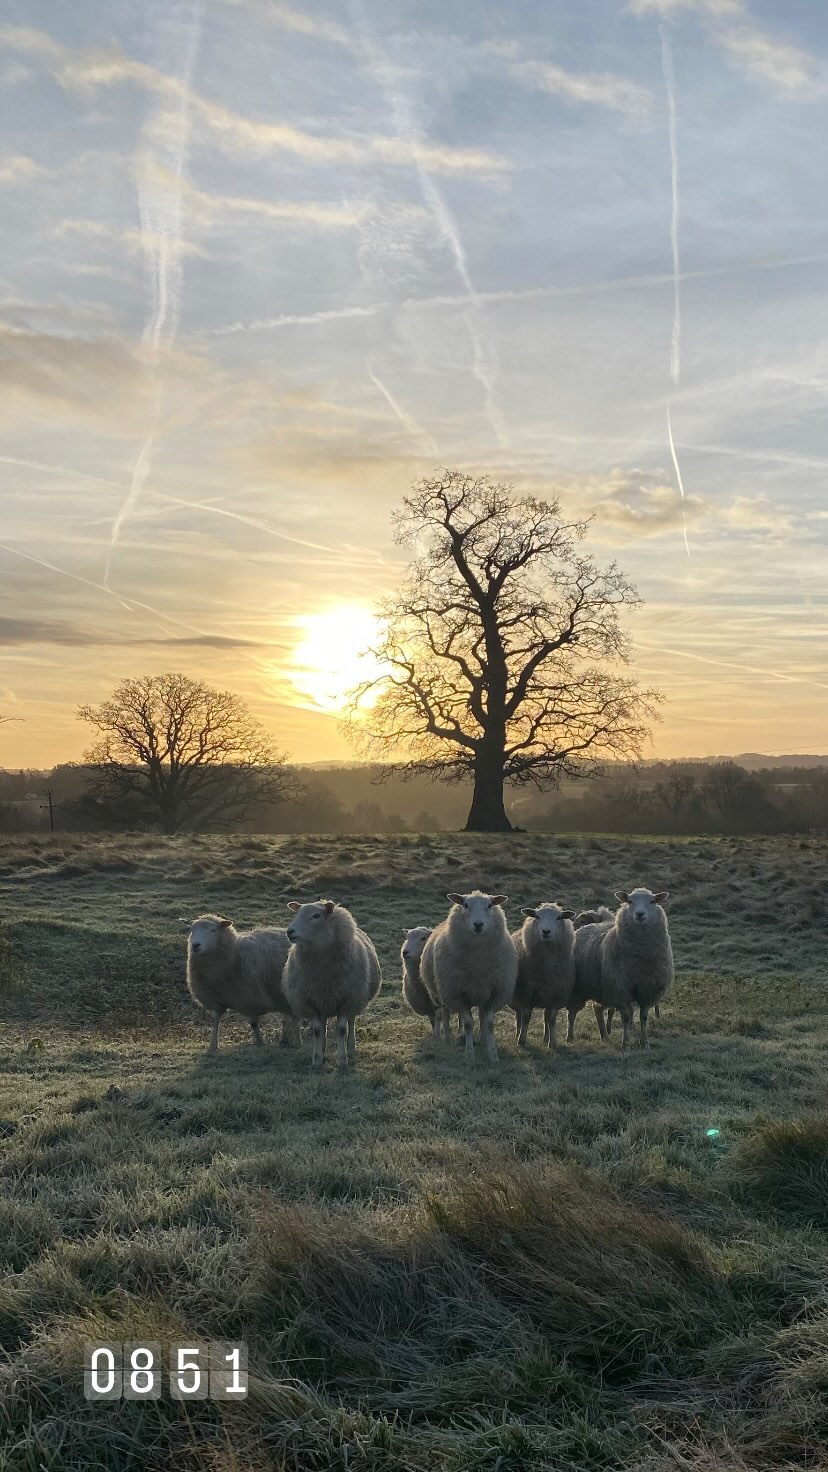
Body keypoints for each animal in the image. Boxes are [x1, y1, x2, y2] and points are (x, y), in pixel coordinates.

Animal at [179, 912, 297, 1053]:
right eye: (191, 930)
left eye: (213, 930)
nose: (195, 945)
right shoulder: (215, 999)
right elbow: (215, 1021)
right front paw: (213, 1046)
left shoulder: (251, 997)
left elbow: (253, 1023)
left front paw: (260, 1042)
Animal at [279, 894, 377, 1071]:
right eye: (297, 914)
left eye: (316, 916)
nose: (290, 932)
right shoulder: (311, 1000)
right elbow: (318, 1031)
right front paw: (317, 1060)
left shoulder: (346, 1000)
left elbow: (341, 1030)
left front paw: (343, 1060)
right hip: (323, 1001)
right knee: (323, 1026)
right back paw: (323, 1049)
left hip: (355, 999)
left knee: (351, 1022)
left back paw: (351, 1048)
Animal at [421, 889, 512, 1065]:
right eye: (465, 905)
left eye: (489, 905)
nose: (478, 924)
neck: (477, 962)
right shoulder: (457, 995)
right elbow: (469, 1024)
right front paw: (469, 1056)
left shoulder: (494, 993)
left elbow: (489, 1024)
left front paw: (493, 1055)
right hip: (441, 993)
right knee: (445, 1014)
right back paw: (448, 1038)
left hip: (481, 993)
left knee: (480, 1017)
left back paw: (483, 1041)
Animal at [509, 894, 574, 1048]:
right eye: (537, 916)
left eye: (559, 917)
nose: (546, 932)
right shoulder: (526, 994)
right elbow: (526, 1017)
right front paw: (522, 1040)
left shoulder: (555, 995)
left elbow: (551, 1019)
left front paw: (552, 1042)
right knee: (519, 1016)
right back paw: (517, 1034)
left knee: (545, 1017)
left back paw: (545, 1038)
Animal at [562, 889, 674, 1053]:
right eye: (630, 901)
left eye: (652, 901)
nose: (640, 914)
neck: (640, 957)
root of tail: (584, 928)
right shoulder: (620, 989)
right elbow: (626, 1018)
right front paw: (626, 1044)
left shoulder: (647, 990)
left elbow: (644, 1017)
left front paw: (645, 1043)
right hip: (579, 988)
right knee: (572, 1013)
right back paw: (570, 1037)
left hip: (601, 988)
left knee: (598, 1009)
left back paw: (605, 1036)